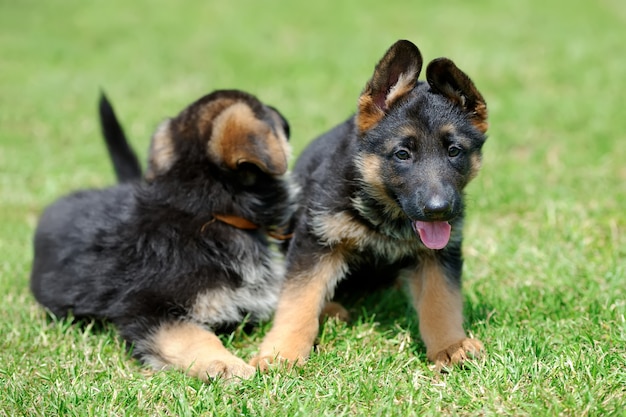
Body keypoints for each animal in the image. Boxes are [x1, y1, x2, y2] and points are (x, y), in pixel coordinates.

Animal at [31, 90, 298, 380]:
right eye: (266, 112)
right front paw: (227, 365)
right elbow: (194, 336)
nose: (285, 117)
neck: (203, 209)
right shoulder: (148, 310)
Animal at [251, 39, 490, 370]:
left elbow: (441, 301)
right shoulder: (316, 240)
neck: (385, 212)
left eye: (454, 151)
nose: (438, 209)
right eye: (402, 154)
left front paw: (449, 345)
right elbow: (299, 299)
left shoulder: (439, 256)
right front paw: (283, 352)